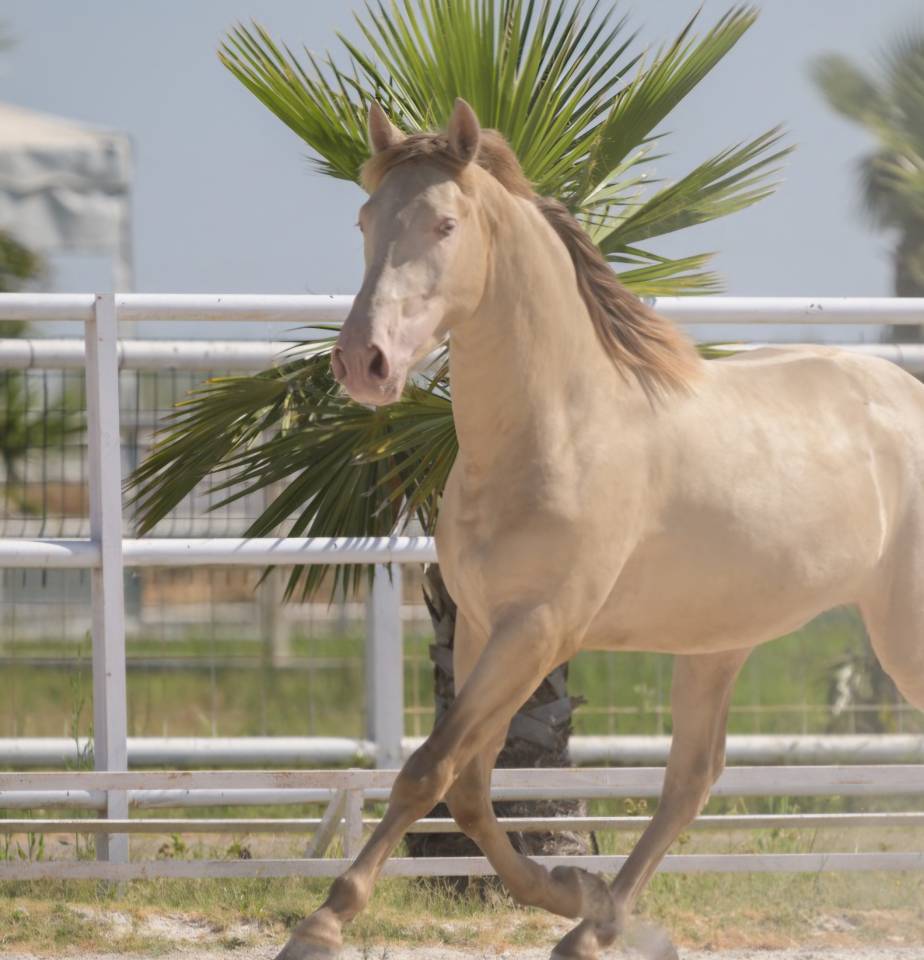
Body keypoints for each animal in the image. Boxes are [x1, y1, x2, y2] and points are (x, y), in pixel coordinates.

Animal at [277, 99, 924, 960]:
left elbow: (427, 771)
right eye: (365, 217)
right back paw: (600, 926)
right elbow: (471, 788)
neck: (553, 430)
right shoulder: (481, 627)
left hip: (901, 634)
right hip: (718, 644)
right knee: (691, 780)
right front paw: (571, 890)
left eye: (445, 224)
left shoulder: (538, 629)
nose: (362, 361)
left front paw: (322, 923)